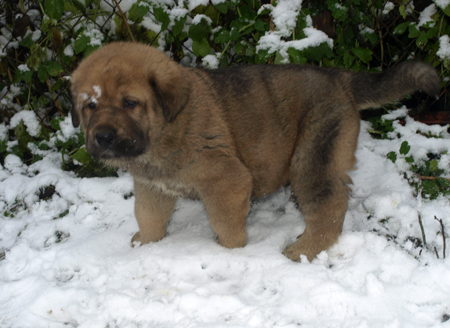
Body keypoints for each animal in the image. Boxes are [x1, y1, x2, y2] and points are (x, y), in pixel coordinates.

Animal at [71, 41, 440, 262]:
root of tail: (342, 78)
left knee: (329, 205)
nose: (103, 137)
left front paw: (229, 254)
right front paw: (145, 246)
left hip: (313, 157)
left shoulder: (226, 179)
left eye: (130, 103)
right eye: (90, 105)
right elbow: (148, 215)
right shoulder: (153, 186)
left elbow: (225, 223)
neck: (165, 129)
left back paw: (300, 252)